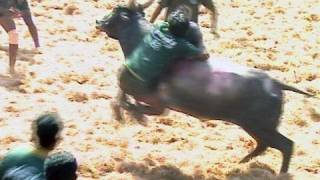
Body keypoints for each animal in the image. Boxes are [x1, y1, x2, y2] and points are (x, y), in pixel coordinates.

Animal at [95, 5, 316, 173]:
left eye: (114, 13)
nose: (98, 21)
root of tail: (275, 83)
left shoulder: (155, 101)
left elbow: (127, 99)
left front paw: (132, 115)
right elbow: (123, 96)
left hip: (261, 125)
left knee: (285, 145)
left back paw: (280, 173)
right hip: (255, 126)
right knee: (264, 145)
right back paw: (239, 163)